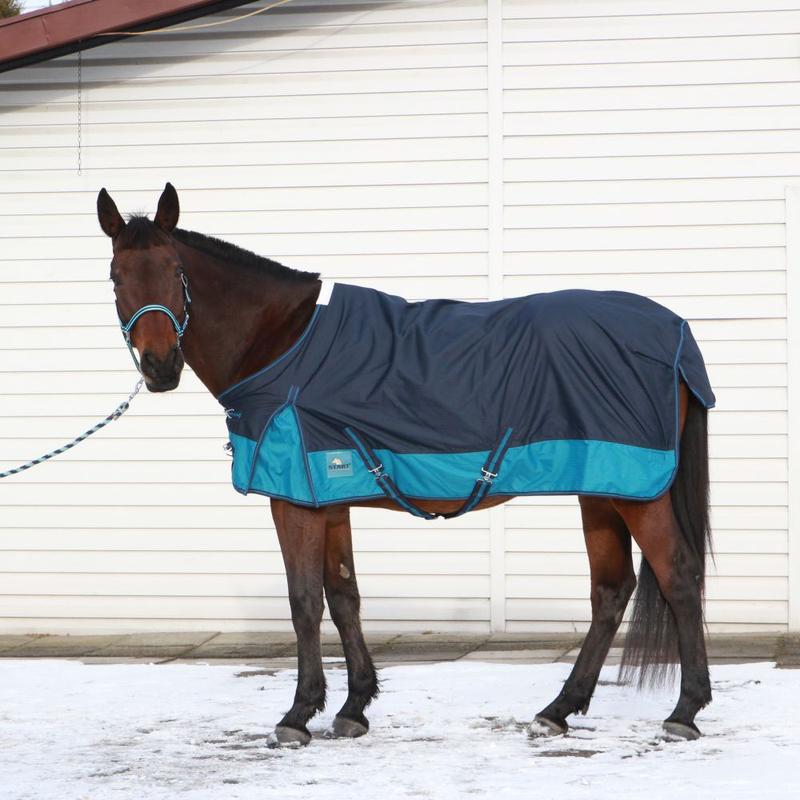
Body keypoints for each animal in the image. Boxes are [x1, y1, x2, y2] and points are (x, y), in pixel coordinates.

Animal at [97, 182, 713, 746]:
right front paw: (354, 708)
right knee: (610, 590)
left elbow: (304, 601)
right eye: (116, 276)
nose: (160, 367)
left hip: (638, 492)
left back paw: (684, 712)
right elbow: (344, 596)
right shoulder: (329, 496)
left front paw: (298, 715)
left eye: (174, 269)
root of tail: (675, 332)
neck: (282, 344)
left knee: (678, 574)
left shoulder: (295, 501)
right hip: (604, 487)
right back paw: (557, 710)